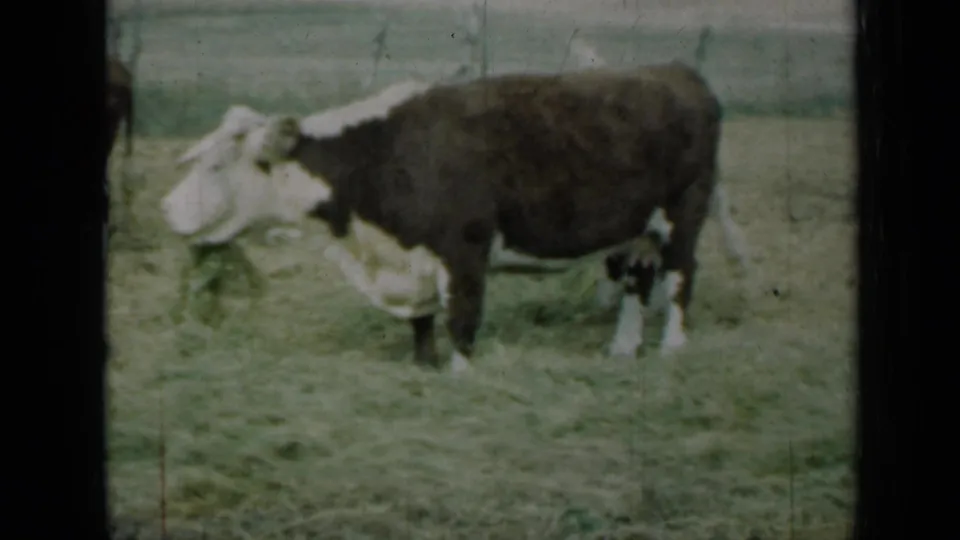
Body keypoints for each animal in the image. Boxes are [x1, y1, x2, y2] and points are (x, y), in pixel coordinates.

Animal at [161, 62, 735, 373]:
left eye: (216, 164)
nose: (166, 208)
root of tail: (676, 71)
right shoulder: (410, 258)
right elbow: (421, 321)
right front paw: (422, 365)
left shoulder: (465, 250)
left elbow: (462, 318)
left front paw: (459, 373)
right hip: (633, 231)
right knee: (638, 280)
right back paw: (622, 348)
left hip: (685, 213)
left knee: (680, 277)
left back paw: (673, 347)